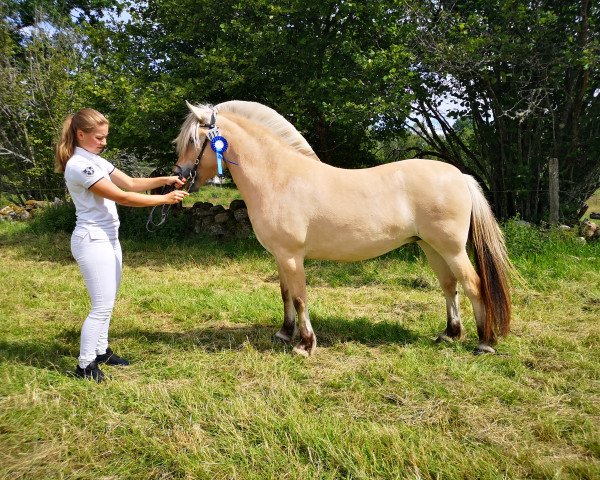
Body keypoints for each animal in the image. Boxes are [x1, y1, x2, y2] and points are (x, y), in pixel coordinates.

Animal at [172, 100, 510, 356]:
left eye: (193, 141)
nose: (180, 177)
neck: (279, 178)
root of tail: (460, 176)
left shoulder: (292, 256)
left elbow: (300, 297)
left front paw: (305, 345)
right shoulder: (280, 256)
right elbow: (285, 294)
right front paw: (284, 334)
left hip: (451, 248)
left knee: (473, 284)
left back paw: (483, 343)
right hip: (430, 247)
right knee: (449, 286)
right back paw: (449, 334)